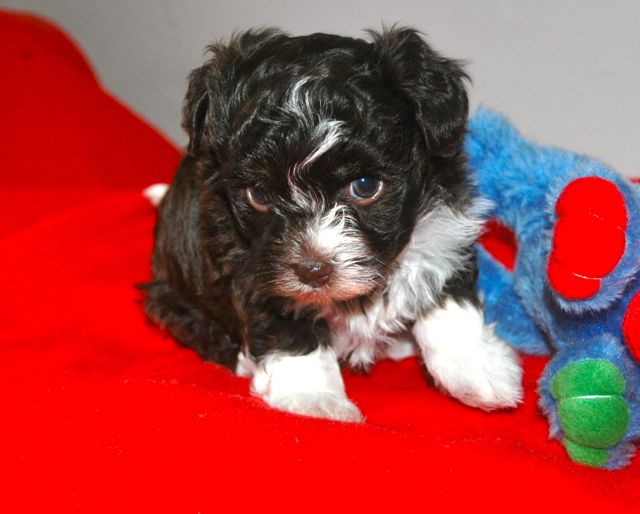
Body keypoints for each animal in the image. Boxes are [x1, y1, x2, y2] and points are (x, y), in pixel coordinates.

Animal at [142, 27, 523, 422]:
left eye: (365, 186)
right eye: (259, 193)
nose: (313, 270)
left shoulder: (446, 228)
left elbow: (448, 296)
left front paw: (477, 369)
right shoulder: (249, 264)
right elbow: (286, 322)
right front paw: (314, 398)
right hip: (172, 296)